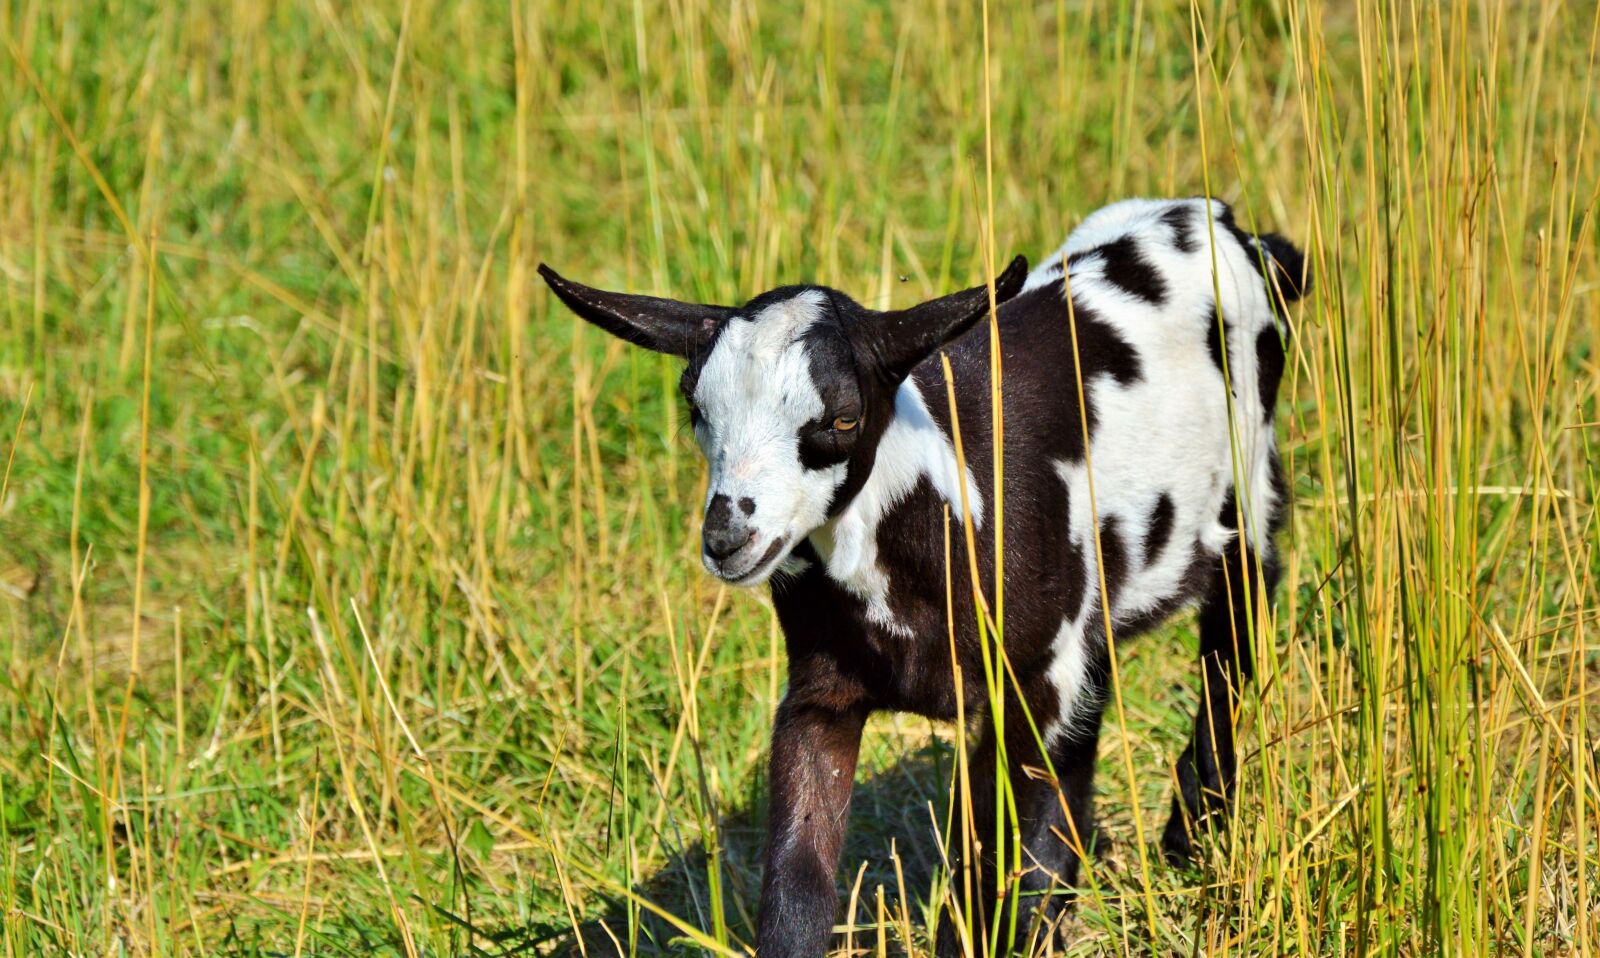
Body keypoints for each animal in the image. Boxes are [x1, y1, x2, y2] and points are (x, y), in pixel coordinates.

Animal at [540, 197, 1308, 957]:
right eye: (696, 412)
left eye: (843, 417)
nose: (728, 538)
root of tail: (1226, 222)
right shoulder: (822, 691)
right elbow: (798, 878)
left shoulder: (1025, 686)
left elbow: (997, 862)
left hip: (1247, 505)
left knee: (1229, 652)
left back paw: (1191, 840)